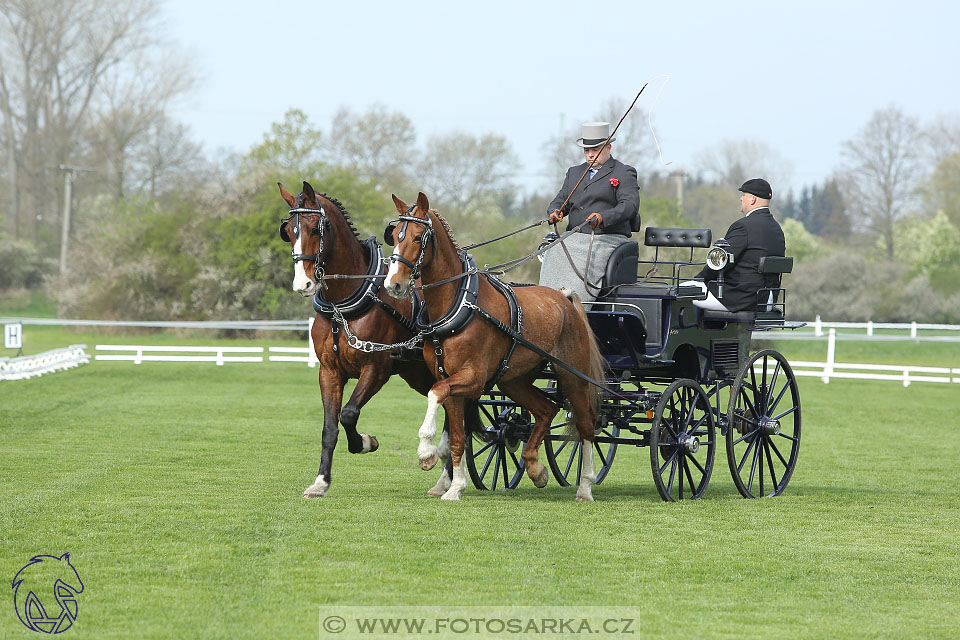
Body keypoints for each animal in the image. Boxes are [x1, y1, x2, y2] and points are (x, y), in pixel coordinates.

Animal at [278, 182, 462, 498]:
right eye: (289, 230)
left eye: (315, 229)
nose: (303, 284)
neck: (343, 306)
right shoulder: (329, 371)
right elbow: (329, 427)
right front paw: (321, 482)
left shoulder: (376, 369)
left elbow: (349, 414)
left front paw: (365, 442)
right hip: (420, 374)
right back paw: (444, 478)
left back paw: (445, 475)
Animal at [384, 192, 604, 502]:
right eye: (394, 236)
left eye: (417, 237)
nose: (394, 285)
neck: (459, 304)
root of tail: (564, 297)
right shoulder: (449, 379)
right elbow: (457, 438)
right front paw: (455, 486)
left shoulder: (473, 379)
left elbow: (434, 394)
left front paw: (426, 451)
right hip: (514, 381)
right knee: (546, 410)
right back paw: (535, 468)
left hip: (573, 376)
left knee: (586, 424)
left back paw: (585, 486)